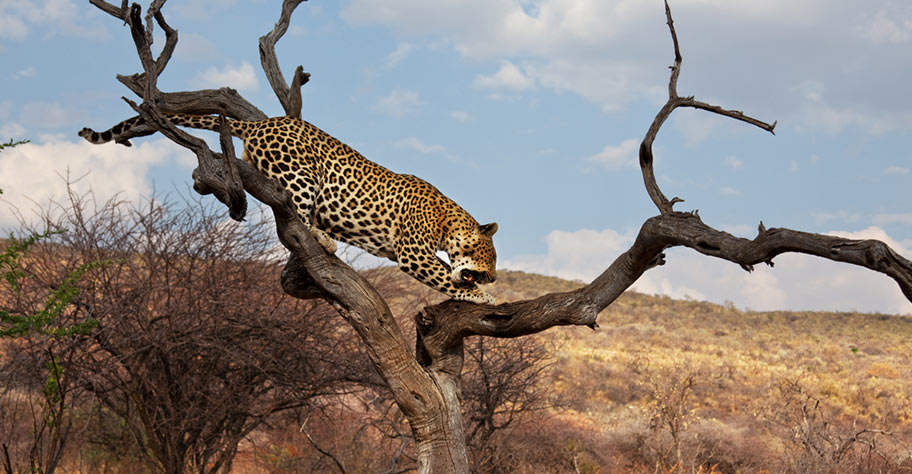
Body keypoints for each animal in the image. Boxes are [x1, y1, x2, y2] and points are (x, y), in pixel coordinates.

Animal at [82, 114, 498, 304]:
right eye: (489, 257)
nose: (494, 278)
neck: (446, 220)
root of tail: (262, 122)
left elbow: (450, 275)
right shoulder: (413, 254)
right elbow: (448, 278)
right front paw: (486, 297)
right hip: (300, 173)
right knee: (292, 213)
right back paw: (322, 239)